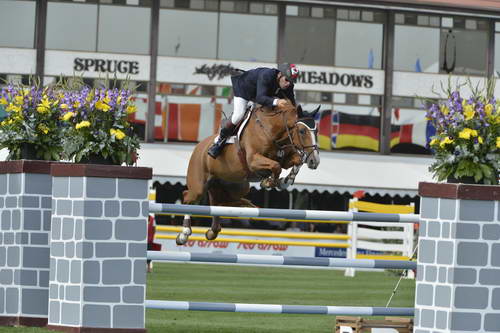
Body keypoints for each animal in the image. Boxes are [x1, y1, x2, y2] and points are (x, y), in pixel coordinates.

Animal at [176, 101, 320, 244]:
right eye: (302, 131)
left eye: (317, 131)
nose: (315, 161)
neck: (272, 131)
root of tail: (199, 146)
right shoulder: (253, 160)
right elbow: (276, 166)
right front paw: (269, 182)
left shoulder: (285, 157)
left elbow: (296, 161)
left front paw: (284, 181)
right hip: (199, 184)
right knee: (188, 196)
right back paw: (184, 234)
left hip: (237, 186)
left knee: (219, 202)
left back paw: (214, 230)